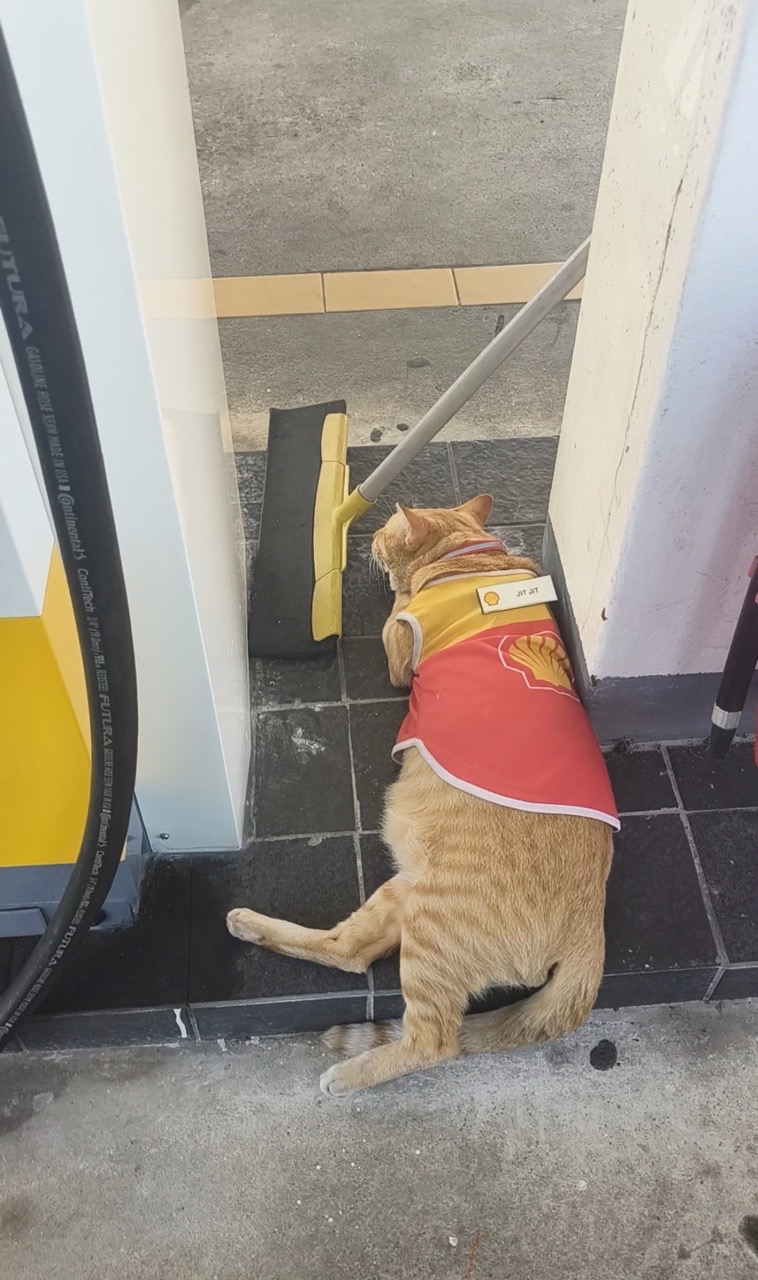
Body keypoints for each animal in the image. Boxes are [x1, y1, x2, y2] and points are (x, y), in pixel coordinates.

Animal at [226, 494, 614, 1095]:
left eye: (384, 531)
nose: (365, 542)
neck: (469, 559)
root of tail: (590, 929)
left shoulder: (399, 652)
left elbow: (397, 626)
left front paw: (397, 588)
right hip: (407, 892)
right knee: (350, 951)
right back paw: (249, 925)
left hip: (432, 925)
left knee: (430, 1037)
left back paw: (347, 1073)